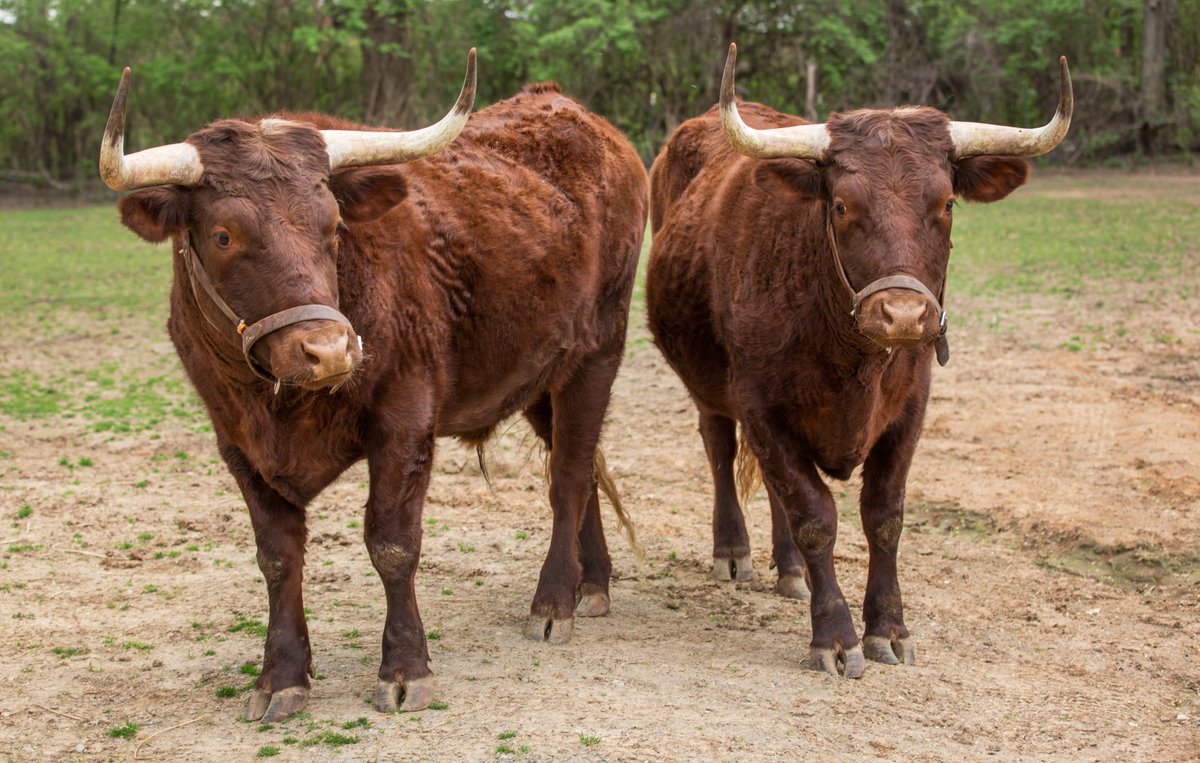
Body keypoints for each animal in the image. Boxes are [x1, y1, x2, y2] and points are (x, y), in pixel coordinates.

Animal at [99, 50, 649, 720]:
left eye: (334, 225)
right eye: (224, 235)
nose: (329, 351)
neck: (281, 406)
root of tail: (572, 112)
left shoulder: (405, 423)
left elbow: (392, 543)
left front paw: (406, 668)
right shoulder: (237, 444)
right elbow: (277, 556)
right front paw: (280, 677)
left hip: (599, 349)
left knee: (569, 473)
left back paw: (554, 601)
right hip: (543, 372)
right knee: (584, 461)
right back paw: (592, 581)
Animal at [646, 44, 1071, 677]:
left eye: (946, 203)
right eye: (843, 205)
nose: (902, 316)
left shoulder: (908, 412)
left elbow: (883, 516)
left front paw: (888, 627)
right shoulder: (762, 408)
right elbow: (815, 517)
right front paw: (836, 635)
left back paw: (790, 571)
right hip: (711, 388)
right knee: (720, 449)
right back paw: (734, 550)